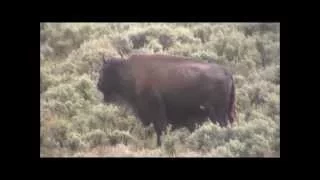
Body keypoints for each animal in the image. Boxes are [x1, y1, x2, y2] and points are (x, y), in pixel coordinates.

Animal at [96, 53, 236, 146]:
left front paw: (160, 145)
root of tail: (226, 72)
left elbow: (160, 129)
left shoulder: (157, 111)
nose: (98, 84)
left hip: (218, 114)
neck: (129, 72)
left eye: (103, 70)